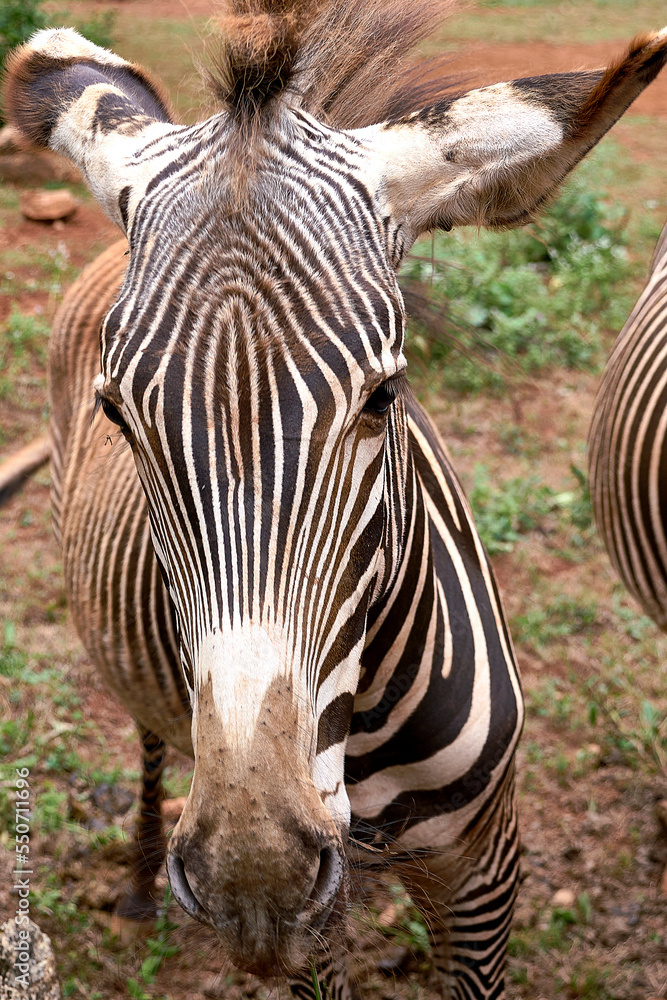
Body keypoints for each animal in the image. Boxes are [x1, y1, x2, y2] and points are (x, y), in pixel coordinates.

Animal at [4, 2, 667, 996]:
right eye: (117, 413)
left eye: (384, 396)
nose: (254, 874)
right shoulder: (312, 926)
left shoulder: (485, 871)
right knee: (151, 741)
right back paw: (136, 880)